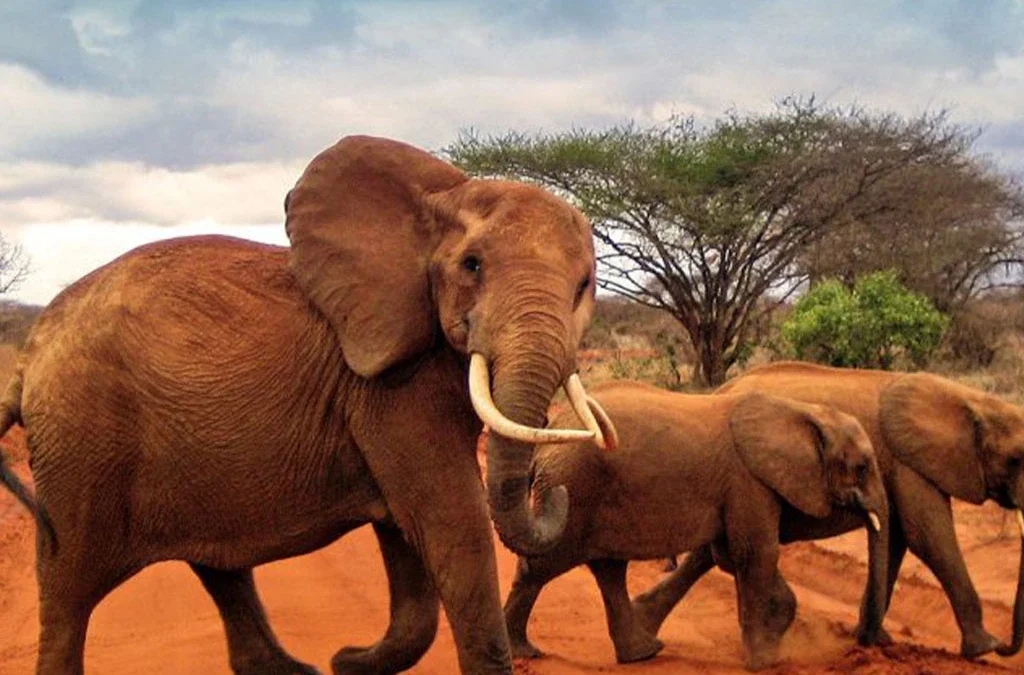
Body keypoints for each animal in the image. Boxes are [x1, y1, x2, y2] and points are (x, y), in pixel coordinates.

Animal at [0, 135, 618, 675]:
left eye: (584, 285)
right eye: (473, 265)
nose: (554, 491)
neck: (442, 198)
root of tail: (29, 358)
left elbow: (407, 536)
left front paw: (350, 662)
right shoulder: (390, 386)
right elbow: (450, 519)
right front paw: (356, 660)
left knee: (218, 569)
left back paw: (299, 670)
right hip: (83, 444)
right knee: (68, 590)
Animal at [502, 379, 889, 671]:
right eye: (862, 467)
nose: (868, 646)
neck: (803, 411)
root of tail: (551, 431)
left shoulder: (742, 487)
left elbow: (730, 554)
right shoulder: (748, 480)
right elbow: (755, 553)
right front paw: (764, 662)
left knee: (608, 570)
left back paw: (643, 653)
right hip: (573, 488)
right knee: (543, 566)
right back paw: (523, 652)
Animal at [632, 360, 1024, 661]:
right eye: (1016, 459)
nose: (1007, 647)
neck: (973, 400)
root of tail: (717, 392)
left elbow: (896, 537)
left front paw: (877, 641)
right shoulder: (909, 461)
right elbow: (928, 537)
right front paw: (983, 648)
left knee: (713, 550)